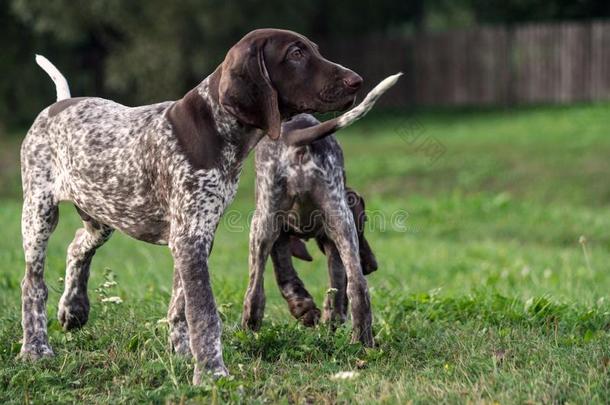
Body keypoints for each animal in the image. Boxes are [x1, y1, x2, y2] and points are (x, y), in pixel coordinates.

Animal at [19, 29, 364, 382]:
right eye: (296, 53)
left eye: (314, 50)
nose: (357, 81)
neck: (216, 128)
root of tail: (58, 104)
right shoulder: (190, 237)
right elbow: (204, 311)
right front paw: (211, 372)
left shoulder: (197, 234)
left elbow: (180, 304)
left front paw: (185, 354)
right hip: (39, 211)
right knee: (33, 285)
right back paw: (35, 349)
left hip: (101, 215)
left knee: (78, 246)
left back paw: (73, 308)